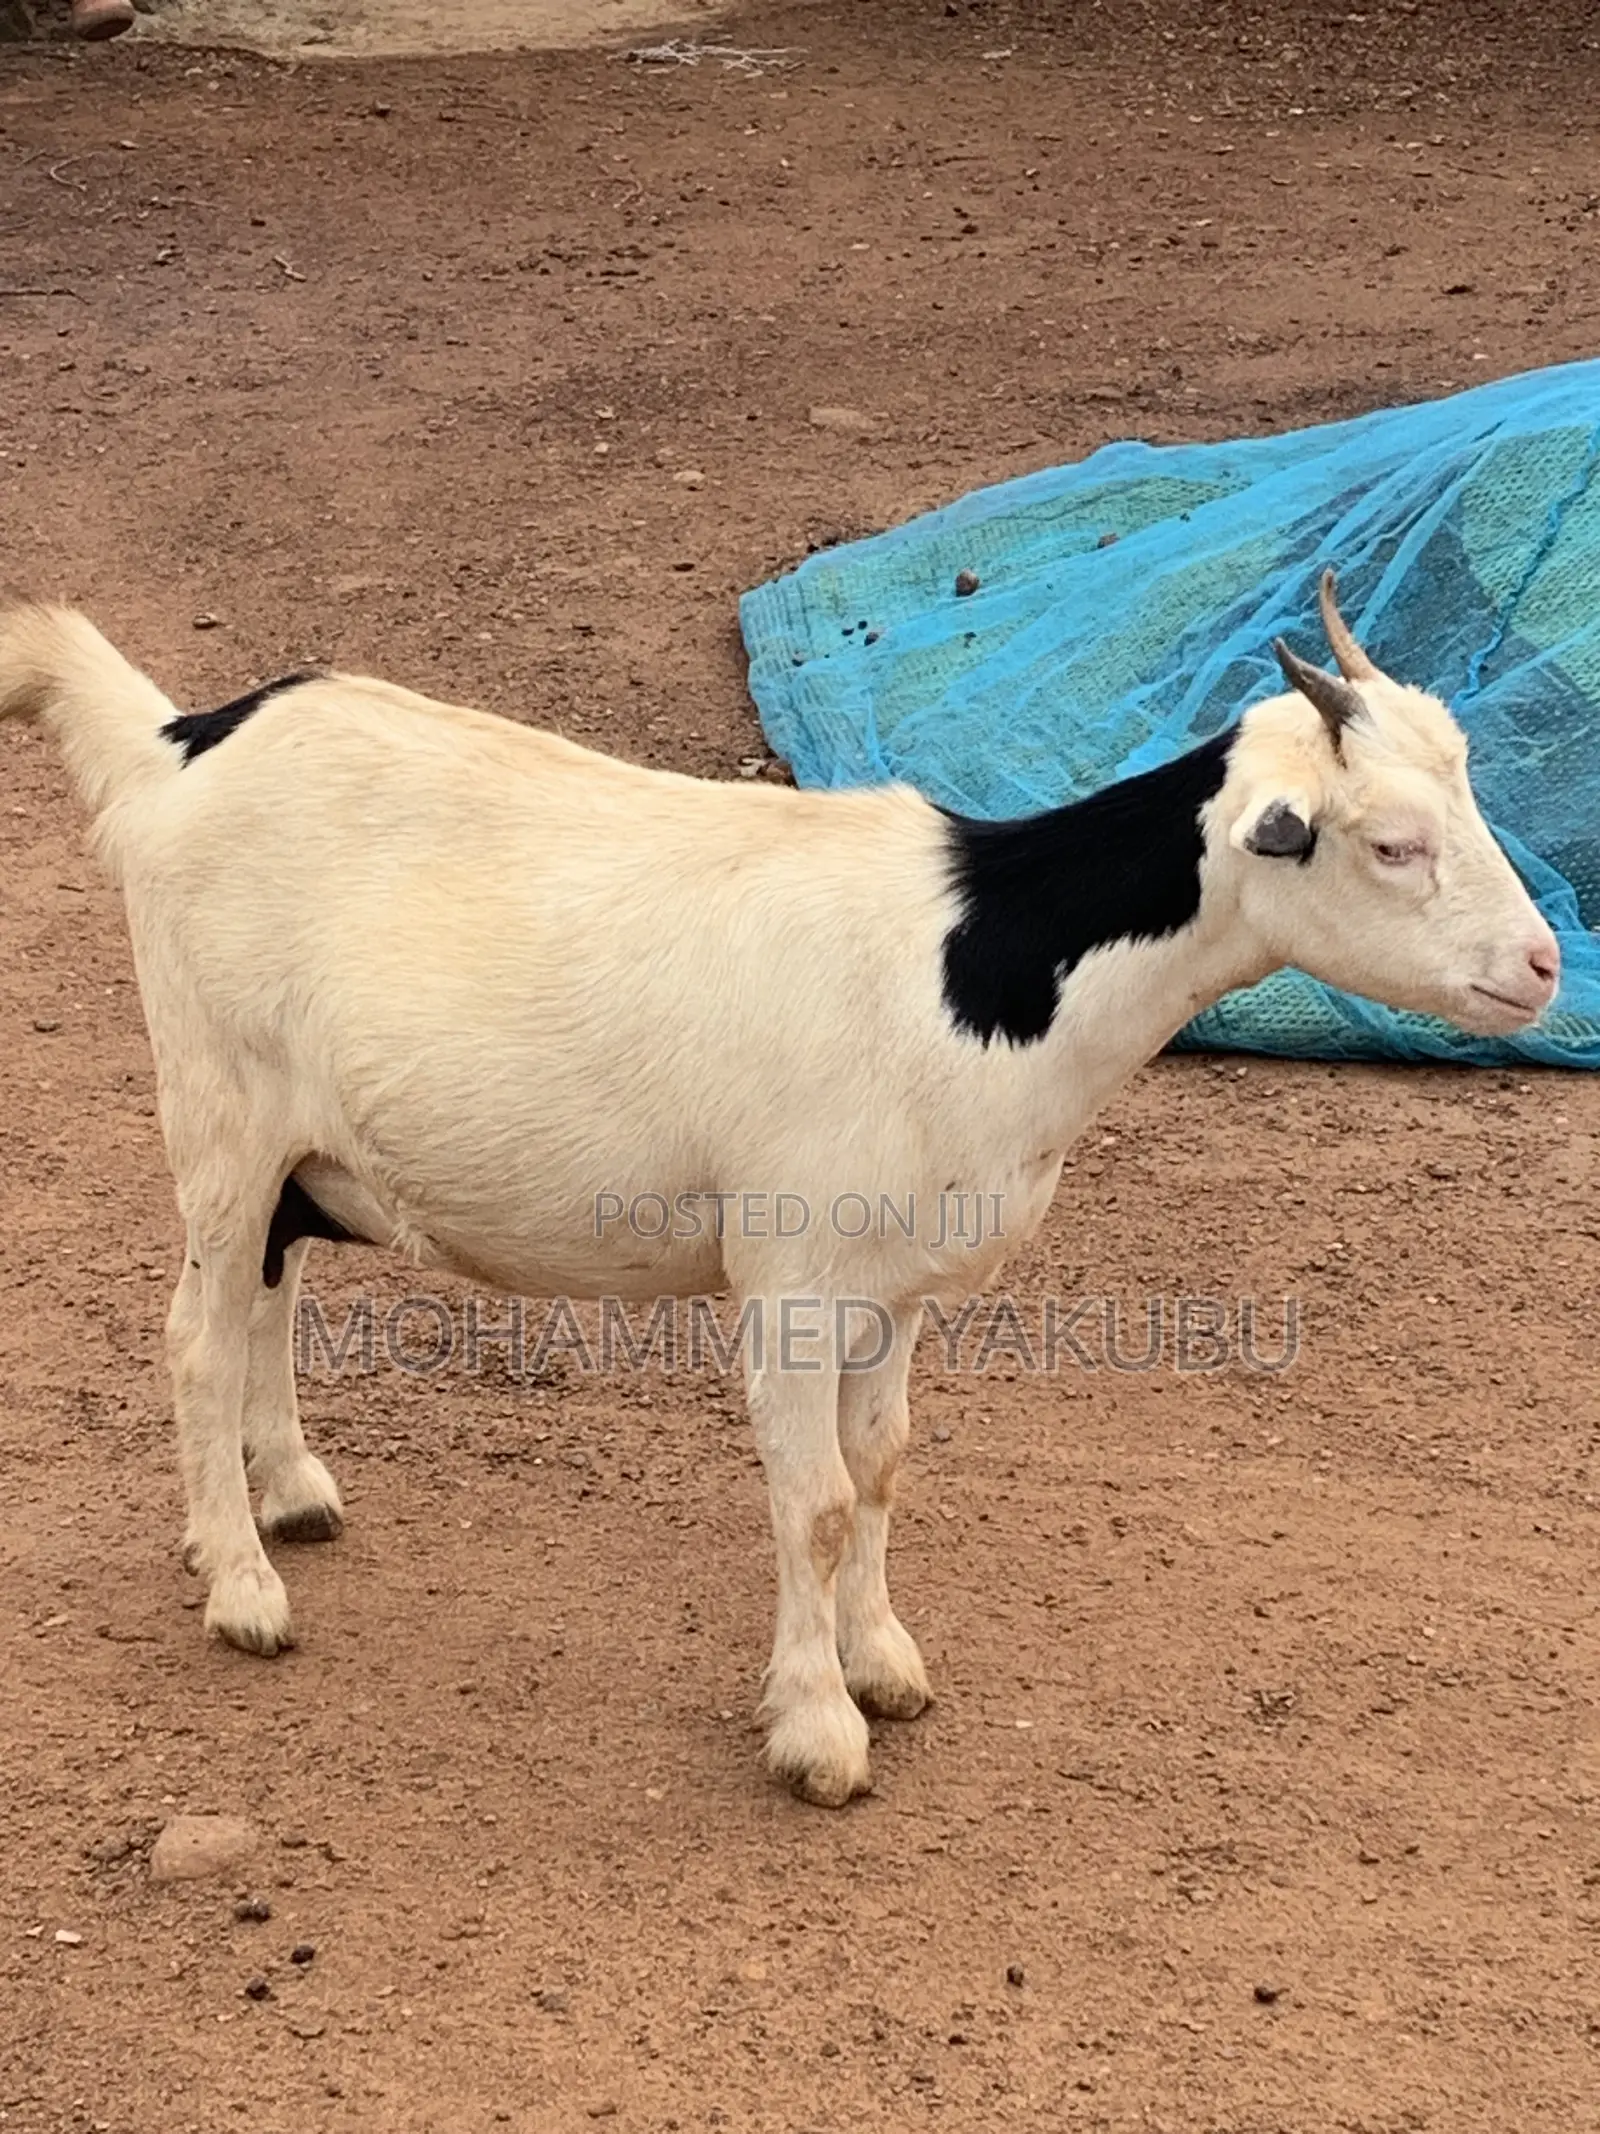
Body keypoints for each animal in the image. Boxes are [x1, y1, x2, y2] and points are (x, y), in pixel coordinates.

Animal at [0, 576, 1559, 1806]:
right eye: (1392, 842)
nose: (1543, 968)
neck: (967, 973)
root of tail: (177, 745)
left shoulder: (902, 1283)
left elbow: (881, 1468)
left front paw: (883, 1662)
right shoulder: (795, 1276)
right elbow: (810, 1500)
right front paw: (817, 1731)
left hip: (294, 1140)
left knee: (269, 1290)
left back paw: (291, 1496)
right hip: (217, 1101)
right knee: (196, 1334)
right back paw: (241, 1585)